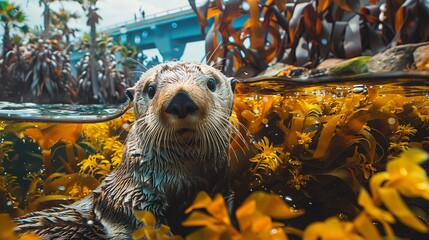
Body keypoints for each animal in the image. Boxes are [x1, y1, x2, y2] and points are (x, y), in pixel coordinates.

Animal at [15, 61, 237, 238]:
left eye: (211, 83)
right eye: (150, 89)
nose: (181, 100)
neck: (185, 183)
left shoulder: (221, 189)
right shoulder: (128, 199)